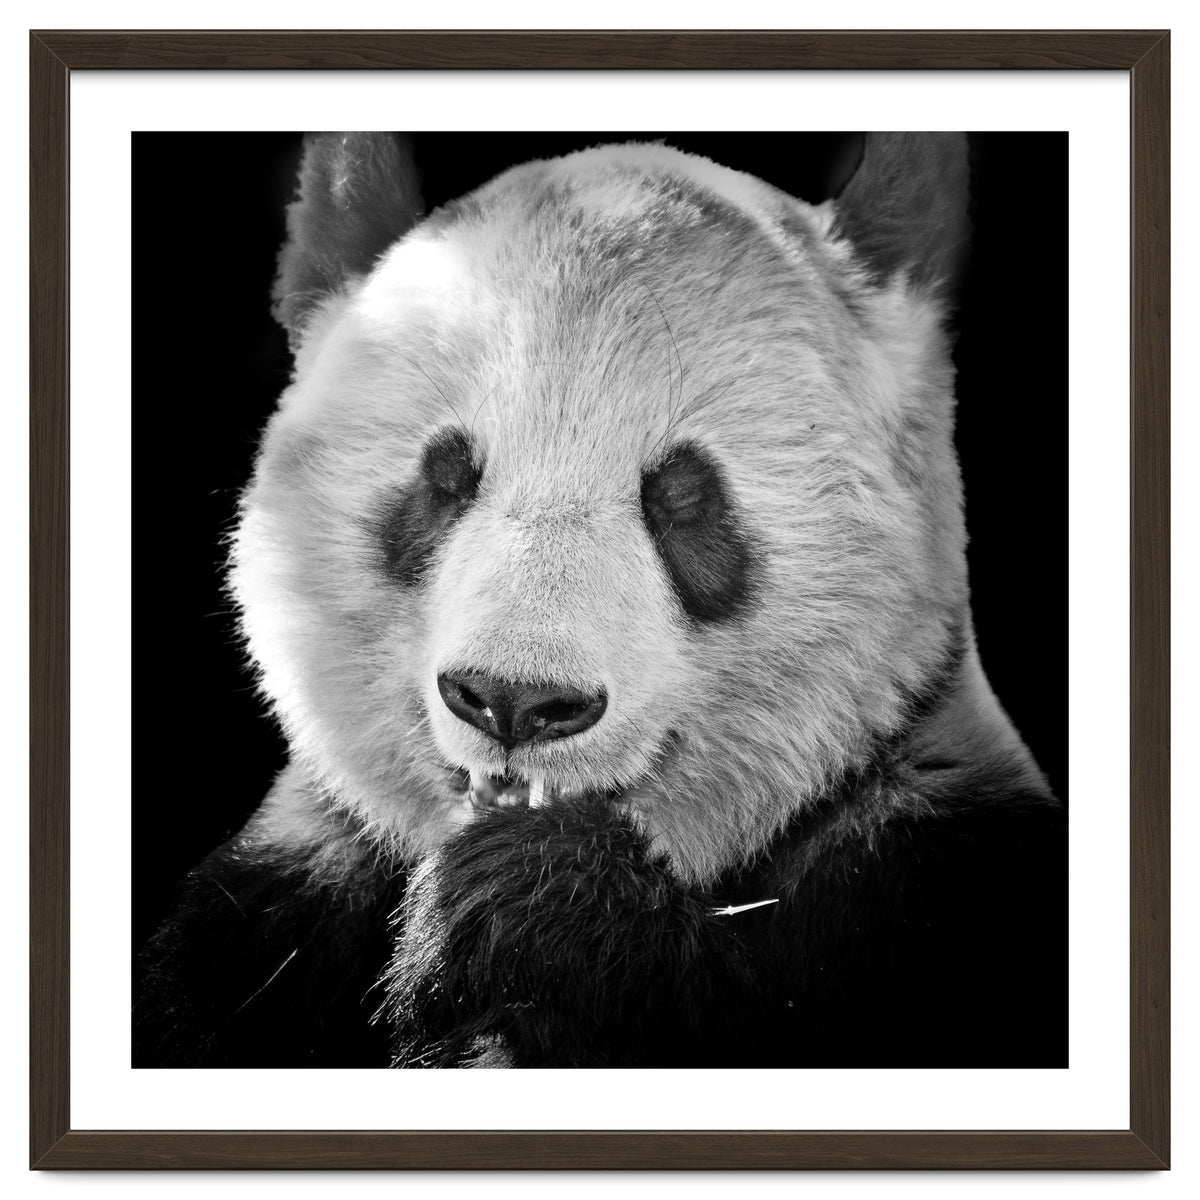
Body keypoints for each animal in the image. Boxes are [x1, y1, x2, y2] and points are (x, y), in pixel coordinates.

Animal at [134, 132, 1067, 1069]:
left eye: (683, 496)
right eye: (445, 477)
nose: (515, 701)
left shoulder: (933, 876)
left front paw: (532, 904)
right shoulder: (269, 912)